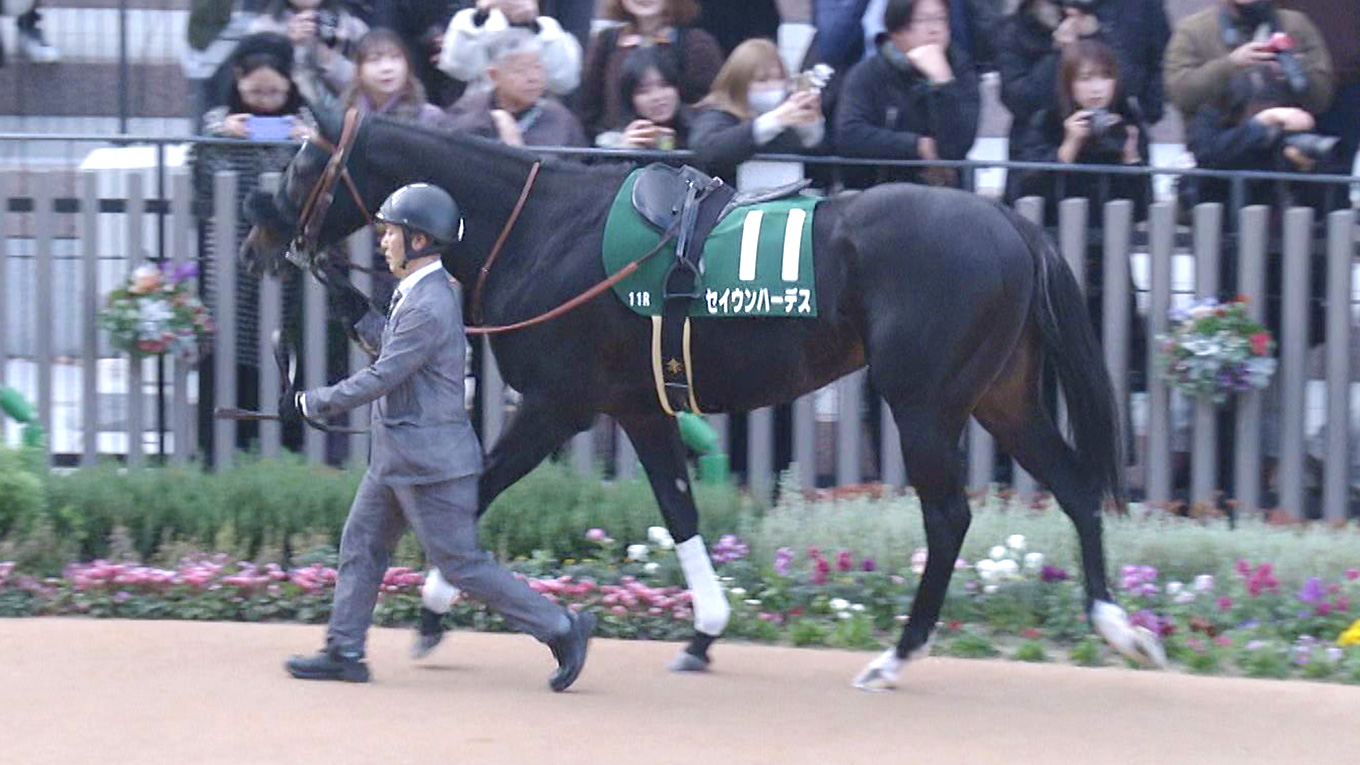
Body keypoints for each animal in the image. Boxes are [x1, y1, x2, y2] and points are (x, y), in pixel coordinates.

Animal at [239, 112, 1167, 689]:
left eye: (303, 160)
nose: (255, 239)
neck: (540, 227)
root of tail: (1013, 224)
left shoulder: (556, 404)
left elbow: (475, 497)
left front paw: (436, 611)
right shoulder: (640, 407)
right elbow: (679, 508)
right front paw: (703, 630)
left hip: (924, 403)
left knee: (947, 519)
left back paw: (896, 658)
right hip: (998, 394)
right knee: (1075, 486)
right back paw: (1118, 624)